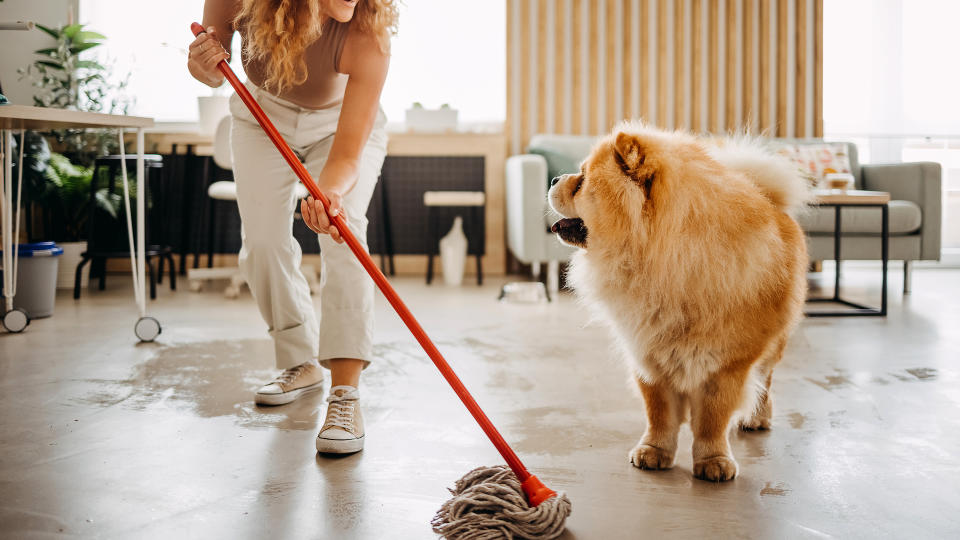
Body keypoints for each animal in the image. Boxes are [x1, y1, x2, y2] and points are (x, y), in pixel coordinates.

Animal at [548, 124, 808, 484]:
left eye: (582, 180)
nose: (554, 179)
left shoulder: (726, 365)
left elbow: (712, 418)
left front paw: (714, 460)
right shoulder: (648, 353)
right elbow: (659, 413)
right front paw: (654, 452)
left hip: (772, 345)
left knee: (764, 380)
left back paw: (756, 418)